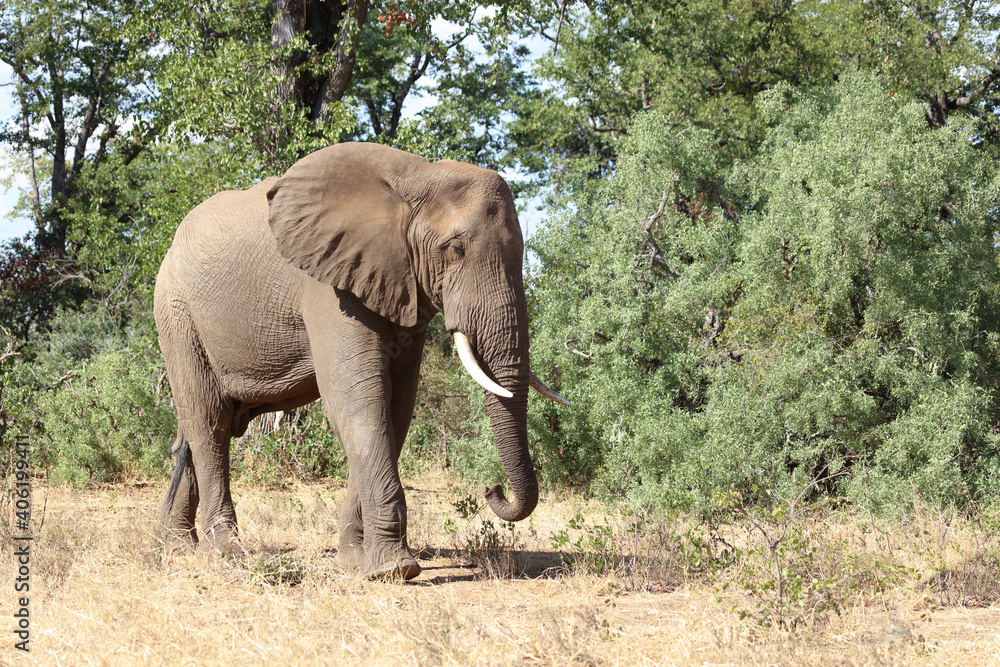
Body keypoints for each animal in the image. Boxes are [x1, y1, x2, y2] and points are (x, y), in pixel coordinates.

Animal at [154, 142, 568, 580]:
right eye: (455, 250)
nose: (492, 488)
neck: (417, 178)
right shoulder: (328, 284)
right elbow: (358, 405)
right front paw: (395, 570)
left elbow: (396, 410)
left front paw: (356, 562)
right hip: (176, 314)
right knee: (209, 424)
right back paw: (224, 553)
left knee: (199, 428)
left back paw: (176, 546)